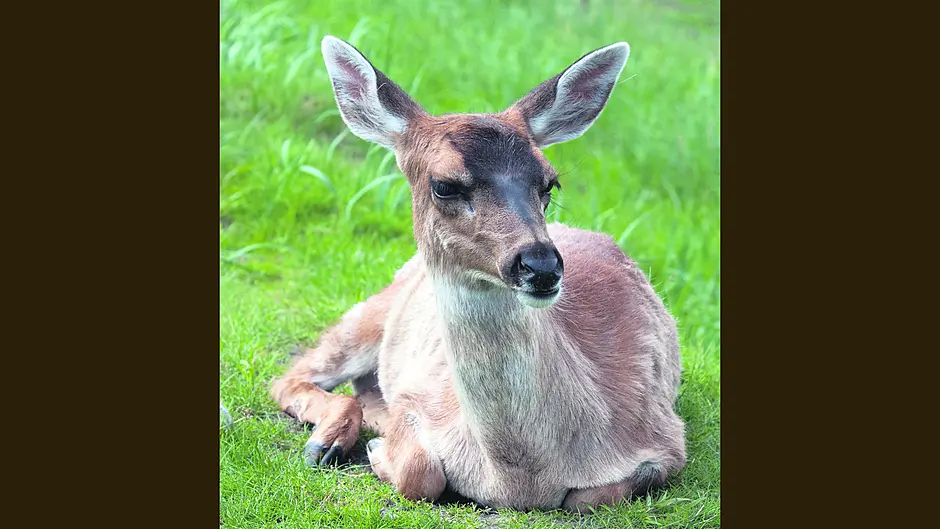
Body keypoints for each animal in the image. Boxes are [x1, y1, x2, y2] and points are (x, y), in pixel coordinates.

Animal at [270, 35, 687, 512]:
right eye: (444, 185)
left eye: (550, 183)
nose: (540, 265)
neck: (516, 479)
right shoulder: (417, 396)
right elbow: (420, 474)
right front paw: (379, 453)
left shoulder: (665, 434)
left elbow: (590, 497)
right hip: (370, 313)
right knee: (291, 376)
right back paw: (327, 442)